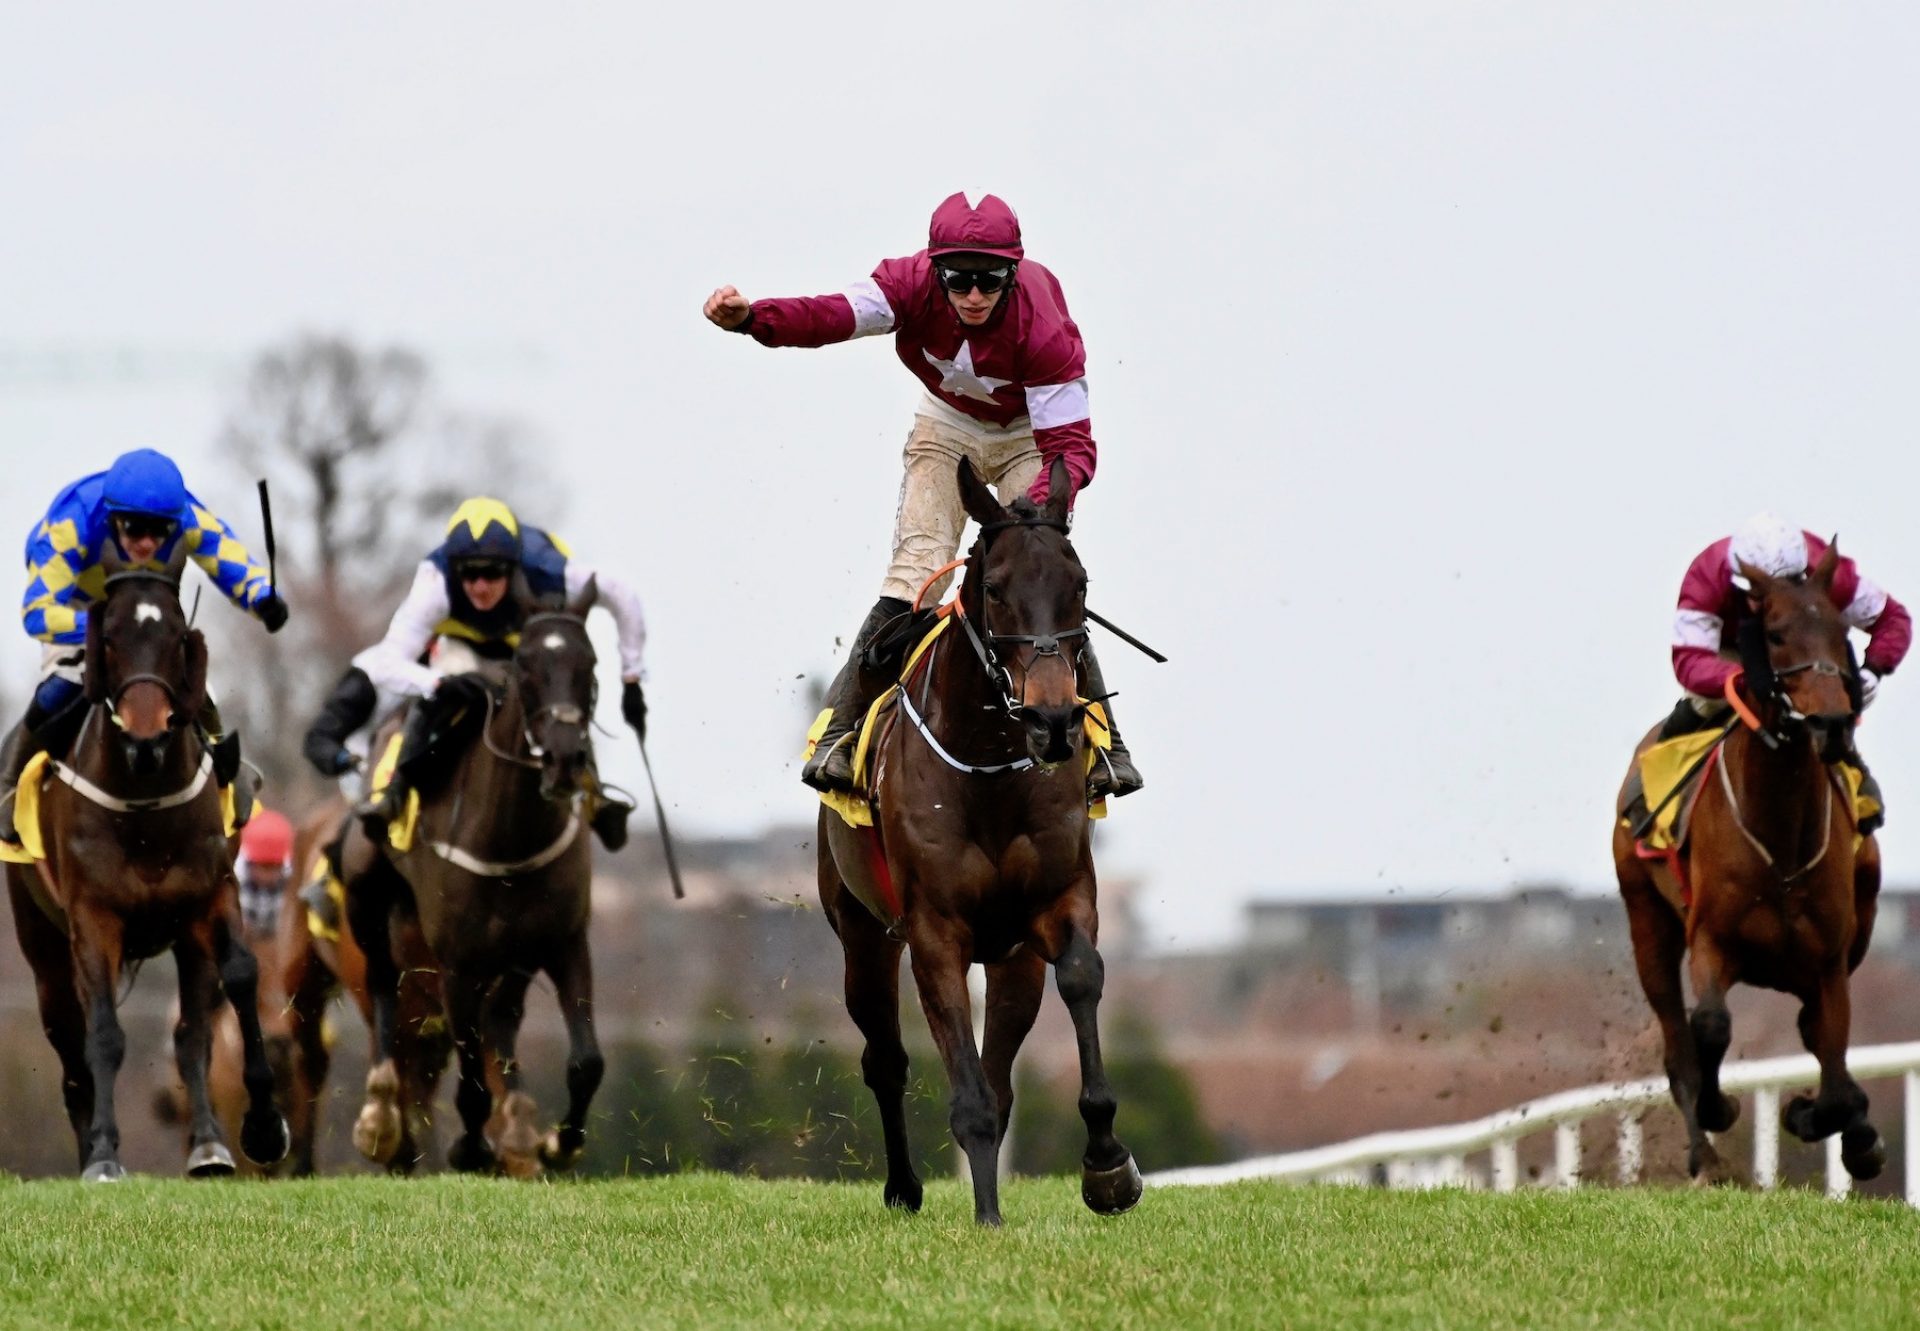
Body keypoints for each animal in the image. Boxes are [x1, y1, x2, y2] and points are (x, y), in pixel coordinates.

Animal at [3, 545, 286, 1175]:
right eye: (108, 636)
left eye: (179, 635)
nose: (147, 737)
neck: (145, 804)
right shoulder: (94, 918)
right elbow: (105, 1034)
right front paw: (105, 1153)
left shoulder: (210, 898)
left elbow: (236, 984)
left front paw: (260, 1126)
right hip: (44, 949)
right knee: (73, 1052)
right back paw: (89, 1147)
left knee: (191, 1033)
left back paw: (207, 1143)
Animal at [341, 580, 602, 1175]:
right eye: (525, 666)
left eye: (591, 663)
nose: (563, 759)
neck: (510, 837)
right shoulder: (459, 963)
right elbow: (470, 1078)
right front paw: (469, 1147)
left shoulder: (564, 942)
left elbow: (587, 1062)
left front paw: (559, 1144)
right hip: (368, 903)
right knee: (384, 989)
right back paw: (381, 1116)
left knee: (502, 1017)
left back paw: (518, 1131)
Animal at [814, 457, 1136, 1221]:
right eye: (994, 589)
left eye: (1080, 587)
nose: (1055, 721)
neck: (988, 763)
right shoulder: (935, 930)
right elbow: (963, 1089)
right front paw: (986, 1219)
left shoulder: (1058, 901)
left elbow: (1081, 976)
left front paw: (1107, 1165)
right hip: (860, 934)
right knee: (885, 1058)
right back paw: (903, 1187)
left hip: (1012, 961)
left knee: (1000, 1072)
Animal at [1612, 541, 1881, 1183]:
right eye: (1776, 634)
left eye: (1842, 632)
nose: (1832, 723)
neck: (1780, 834)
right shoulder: (1711, 937)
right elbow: (1709, 1027)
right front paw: (1722, 1108)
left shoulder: (1830, 959)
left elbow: (1832, 1060)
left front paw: (1823, 1118)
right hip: (1647, 922)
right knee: (1677, 1039)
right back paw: (1704, 1153)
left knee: (1814, 1035)